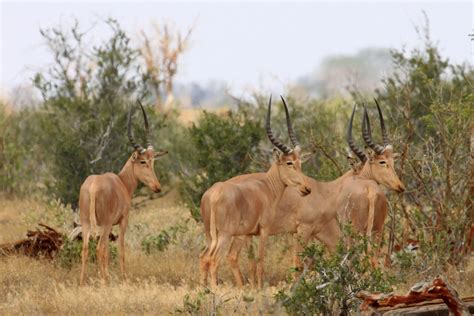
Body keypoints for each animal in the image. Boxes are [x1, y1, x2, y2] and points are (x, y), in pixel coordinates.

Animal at [81, 101, 168, 286]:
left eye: (153, 161)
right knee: (99, 248)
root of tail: (93, 187)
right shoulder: (123, 221)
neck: (121, 182)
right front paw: (123, 279)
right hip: (105, 225)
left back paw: (82, 282)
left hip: (86, 223)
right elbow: (120, 250)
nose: (157, 187)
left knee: (85, 249)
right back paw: (104, 283)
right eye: (142, 161)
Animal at [199, 95, 312, 288]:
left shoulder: (248, 234)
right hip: (224, 235)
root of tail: (213, 194)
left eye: (300, 162)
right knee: (213, 259)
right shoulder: (264, 230)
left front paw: (252, 288)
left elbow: (251, 263)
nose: (306, 188)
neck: (266, 187)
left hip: (210, 234)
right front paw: (259, 288)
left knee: (204, 257)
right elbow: (260, 260)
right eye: (289, 162)